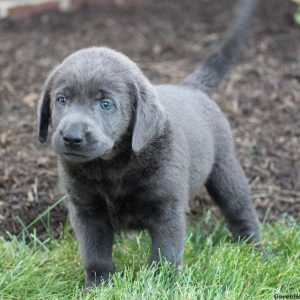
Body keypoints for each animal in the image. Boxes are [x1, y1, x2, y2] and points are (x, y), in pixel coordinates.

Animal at [38, 0, 260, 290]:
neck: (112, 166)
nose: (72, 137)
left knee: (241, 210)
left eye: (106, 104)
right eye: (61, 100)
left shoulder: (167, 210)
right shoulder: (86, 211)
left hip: (225, 169)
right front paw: (97, 287)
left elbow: (165, 254)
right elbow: (95, 254)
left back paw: (257, 252)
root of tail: (191, 88)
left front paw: (161, 286)